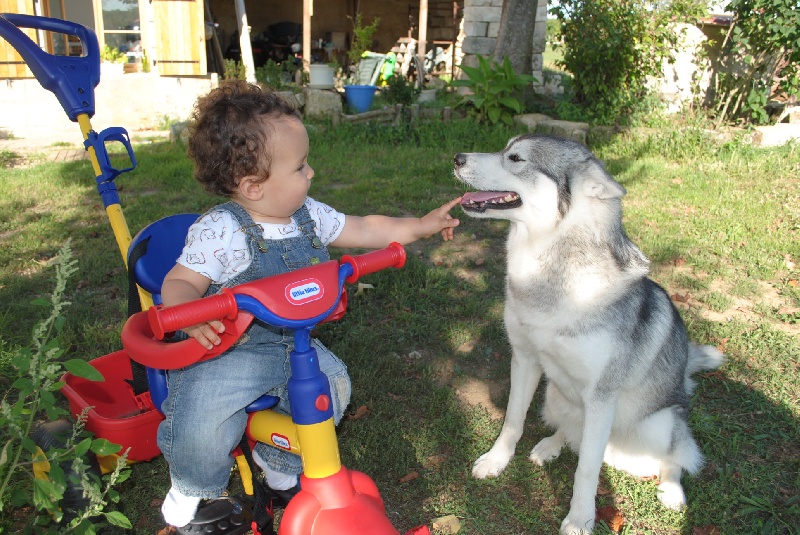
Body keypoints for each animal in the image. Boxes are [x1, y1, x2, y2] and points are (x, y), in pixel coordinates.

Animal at [453, 134, 723, 534]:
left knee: (676, 457)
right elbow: (512, 422)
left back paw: (672, 490)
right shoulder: (525, 360)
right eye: (505, 148)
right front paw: (496, 460)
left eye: (515, 158)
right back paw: (550, 445)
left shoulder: (600, 398)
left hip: (656, 427)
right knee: (571, 433)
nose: (456, 158)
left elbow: (587, 471)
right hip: (553, 396)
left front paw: (580, 519)